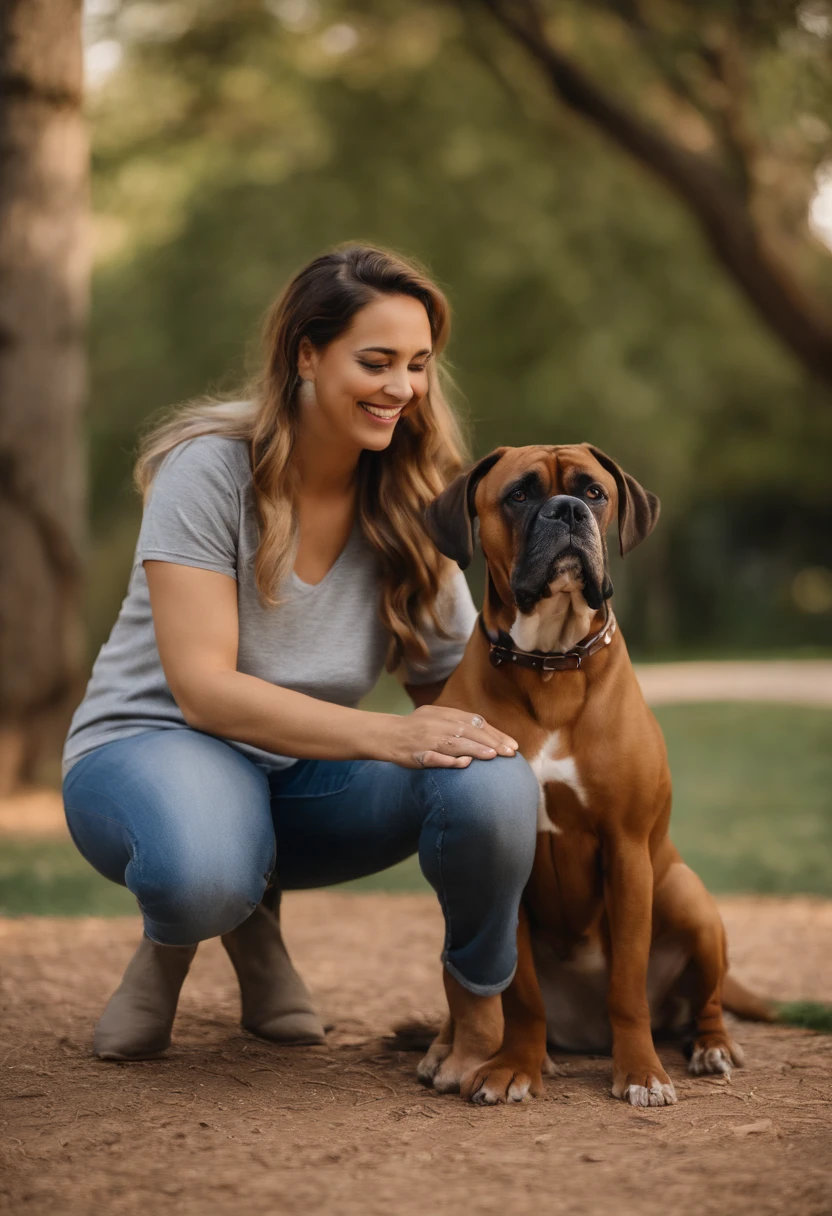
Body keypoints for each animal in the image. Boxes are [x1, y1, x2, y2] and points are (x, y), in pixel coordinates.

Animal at [413, 442, 768, 1108]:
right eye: (520, 494)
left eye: (595, 493)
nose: (568, 510)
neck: (551, 662)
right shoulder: (510, 865)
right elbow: (520, 995)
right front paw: (513, 1067)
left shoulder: (626, 851)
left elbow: (625, 984)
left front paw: (642, 1073)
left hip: (685, 895)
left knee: (704, 1001)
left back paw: (709, 1046)